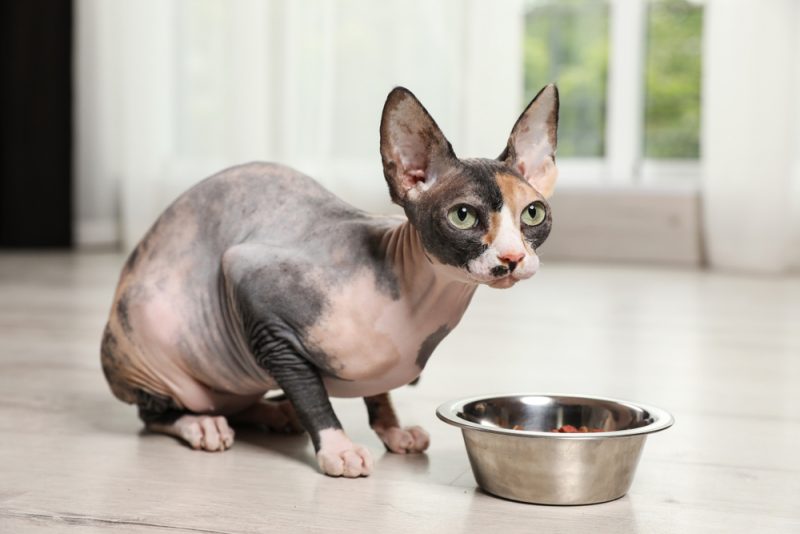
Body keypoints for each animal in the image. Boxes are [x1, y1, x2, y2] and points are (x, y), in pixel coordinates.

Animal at [100, 86, 560, 480]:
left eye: (533, 213)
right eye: (463, 216)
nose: (513, 258)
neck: (418, 303)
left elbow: (379, 394)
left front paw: (393, 432)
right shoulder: (253, 290)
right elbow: (308, 389)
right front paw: (337, 447)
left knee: (234, 404)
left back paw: (273, 414)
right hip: (149, 330)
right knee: (153, 414)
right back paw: (203, 426)